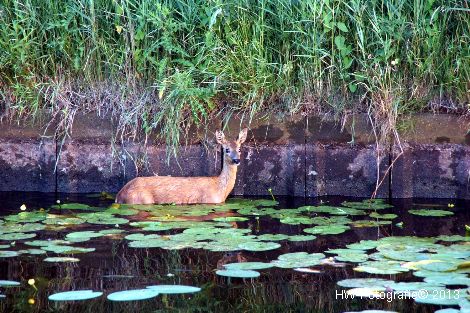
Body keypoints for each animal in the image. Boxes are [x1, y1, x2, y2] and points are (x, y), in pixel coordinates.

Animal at [115, 128, 248, 204]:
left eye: (239, 149)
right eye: (227, 149)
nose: (236, 160)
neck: (220, 189)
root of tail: (119, 194)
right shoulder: (209, 200)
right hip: (139, 199)